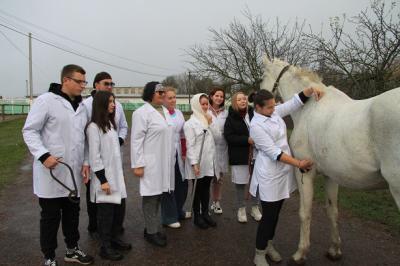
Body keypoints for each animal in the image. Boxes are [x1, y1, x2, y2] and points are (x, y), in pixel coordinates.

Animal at [260, 56, 400, 264]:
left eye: (262, 75)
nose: (252, 100)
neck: (309, 109)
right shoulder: (331, 176)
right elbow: (332, 211)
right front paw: (335, 250)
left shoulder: (305, 172)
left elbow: (305, 212)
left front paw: (300, 253)